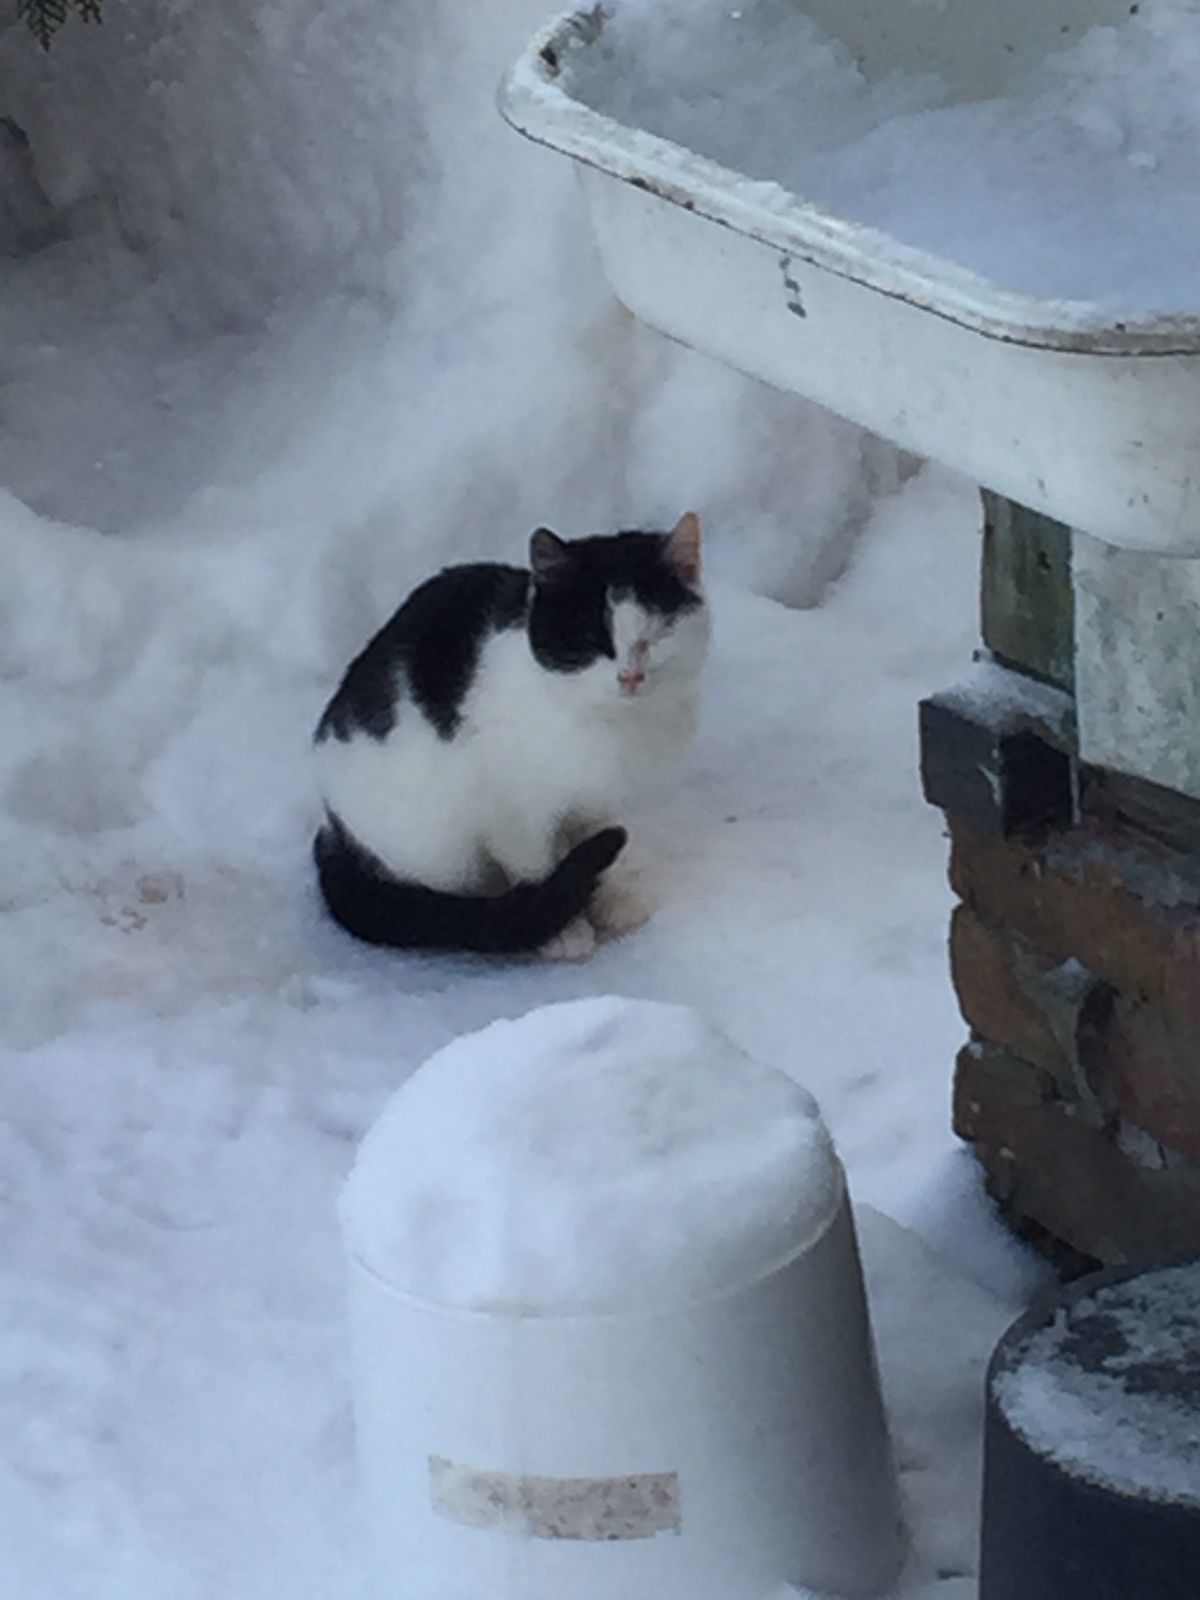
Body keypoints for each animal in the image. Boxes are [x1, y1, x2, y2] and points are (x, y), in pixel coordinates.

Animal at [316, 518, 713, 953]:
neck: (613, 723)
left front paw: (610, 899)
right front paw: (561, 927)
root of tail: (333, 824)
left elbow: (599, 839)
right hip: (429, 841)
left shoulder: (601, 799)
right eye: (594, 641)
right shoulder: (513, 810)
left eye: (657, 635)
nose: (631, 676)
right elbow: (534, 863)